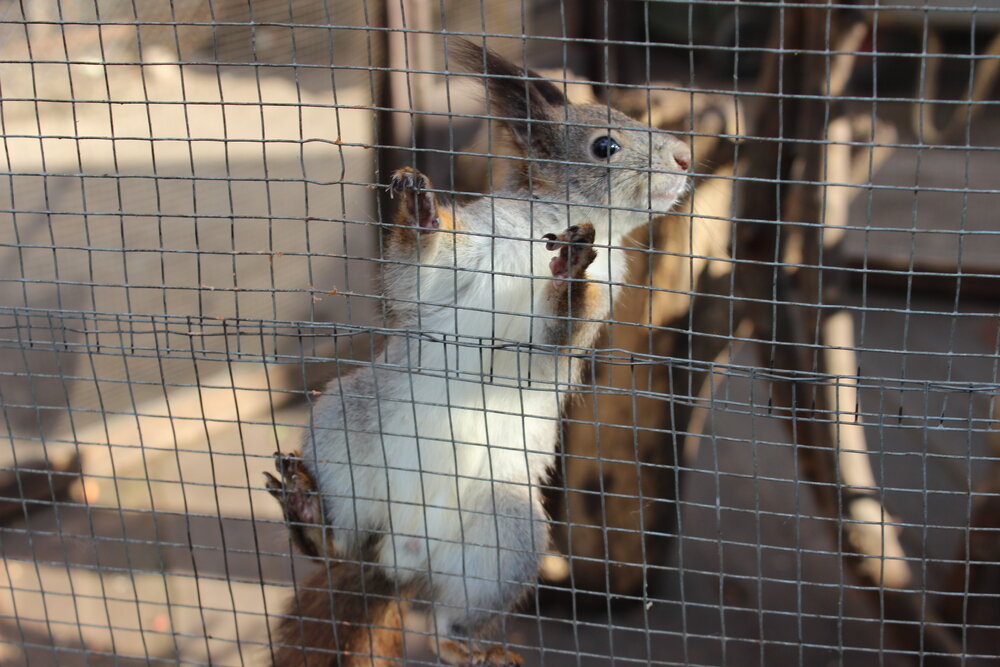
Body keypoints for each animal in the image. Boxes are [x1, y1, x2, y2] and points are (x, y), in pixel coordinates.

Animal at [264, 39, 690, 667]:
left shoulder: (598, 299)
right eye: (606, 145)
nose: (685, 157)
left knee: (454, 615)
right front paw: (418, 211)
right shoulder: (468, 251)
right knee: (339, 545)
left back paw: (464, 646)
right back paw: (309, 514)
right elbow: (421, 273)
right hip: (345, 438)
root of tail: (400, 554)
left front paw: (571, 273)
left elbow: (562, 330)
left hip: (505, 539)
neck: (547, 226)